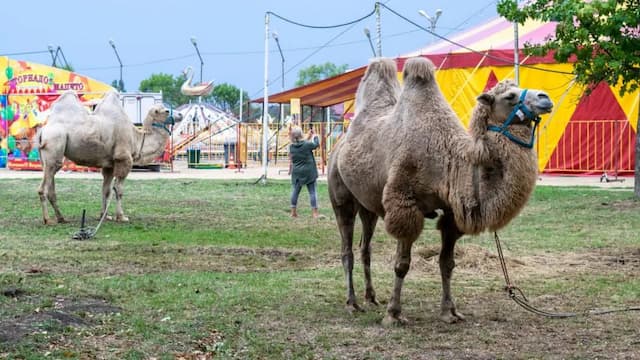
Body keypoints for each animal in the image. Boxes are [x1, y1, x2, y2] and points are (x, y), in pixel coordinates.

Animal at [36, 90, 179, 224]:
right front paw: (121, 216)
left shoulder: (109, 165)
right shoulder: (123, 159)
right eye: (166, 111)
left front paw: (105, 216)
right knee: (43, 188)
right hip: (54, 142)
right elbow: (118, 189)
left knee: (51, 184)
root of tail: (43, 131)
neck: (137, 138)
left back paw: (61, 218)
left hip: (48, 157)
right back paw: (48, 220)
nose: (180, 115)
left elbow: (106, 190)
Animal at [328, 57, 552, 324]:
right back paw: (352, 303)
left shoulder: (452, 213)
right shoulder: (405, 205)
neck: (448, 162)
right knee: (346, 249)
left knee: (365, 247)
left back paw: (371, 298)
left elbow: (447, 263)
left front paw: (450, 311)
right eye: (509, 96)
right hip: (341, 197)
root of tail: (339, 144)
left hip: (368, 204)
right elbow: (402, 264)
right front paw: (394, 314)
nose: (545, 98)